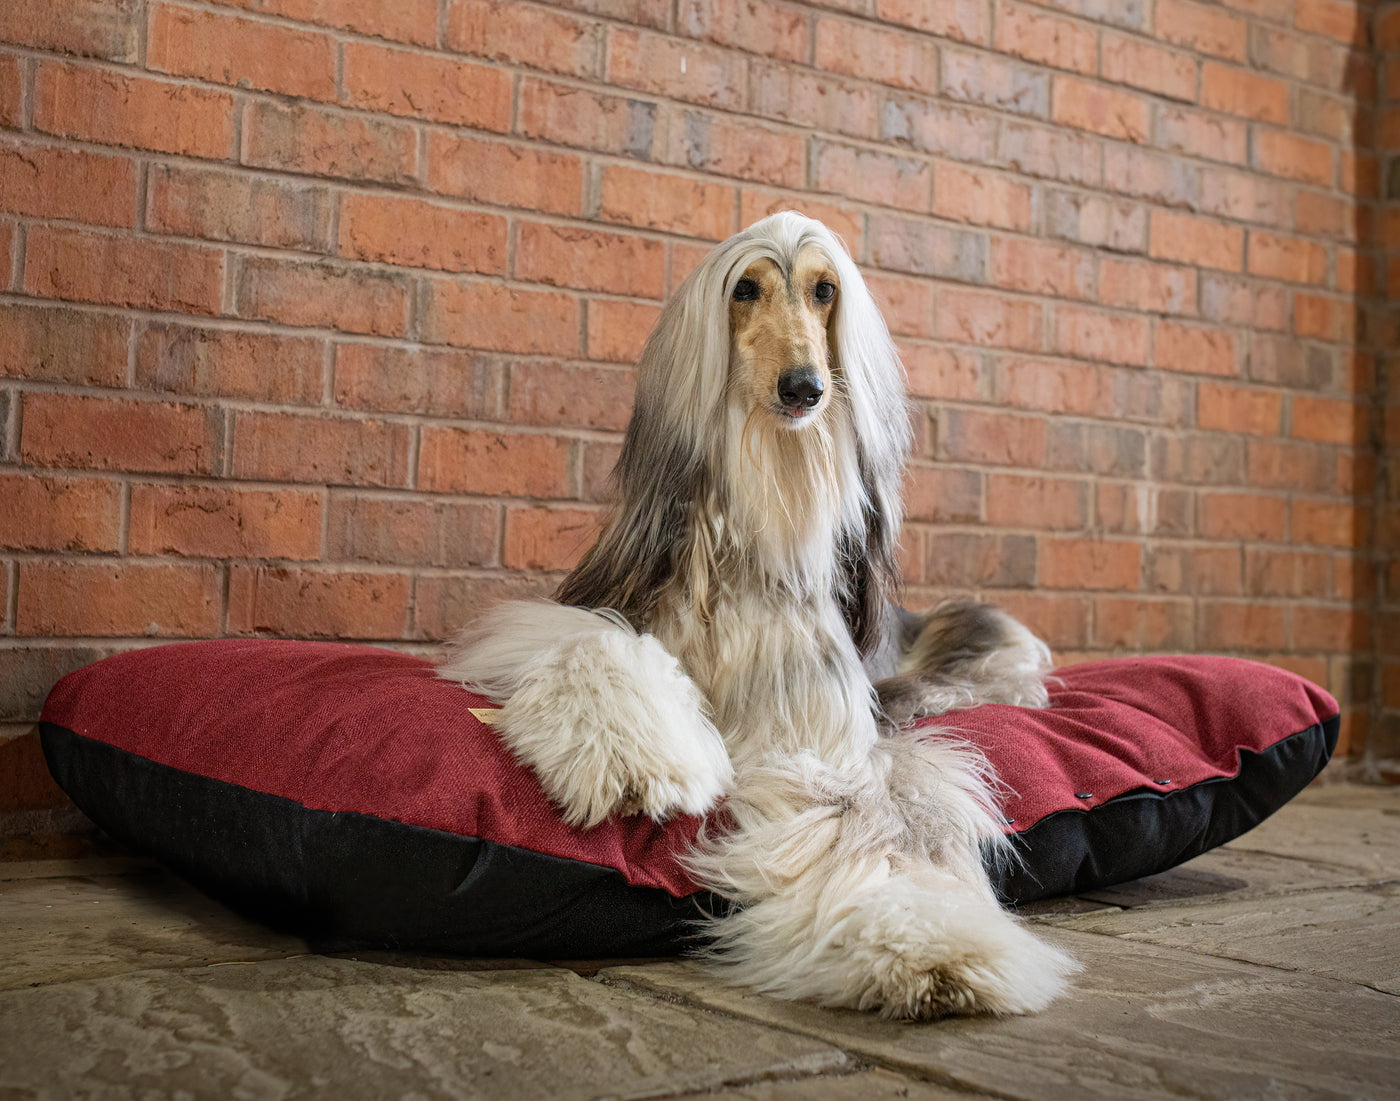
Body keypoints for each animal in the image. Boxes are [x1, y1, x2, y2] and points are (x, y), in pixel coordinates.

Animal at [442, 210, 1075, 1014]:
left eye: (825, 291)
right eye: (745, 289)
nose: (804, 387)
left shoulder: (826, 741)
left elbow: (876, 819)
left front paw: (928, 942)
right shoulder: (576, 617)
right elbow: (584, 644)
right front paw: (640, 757)